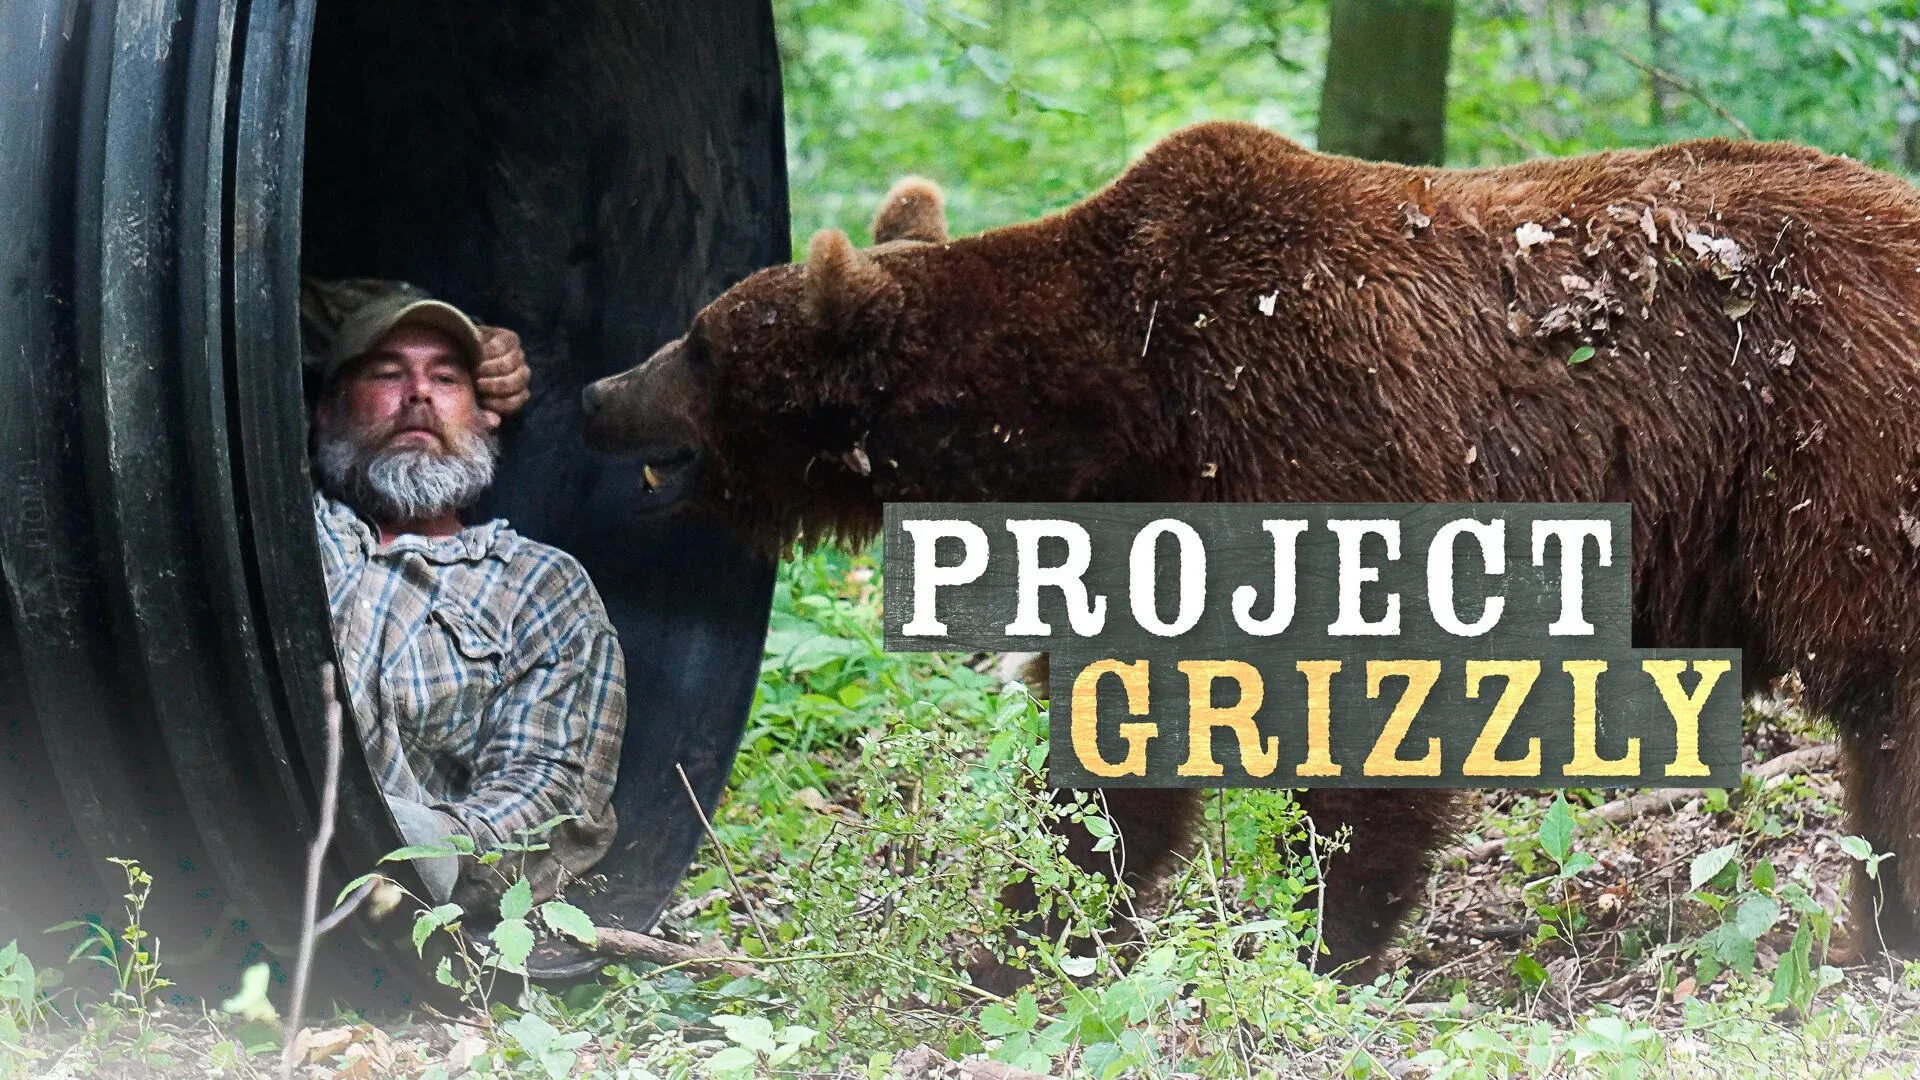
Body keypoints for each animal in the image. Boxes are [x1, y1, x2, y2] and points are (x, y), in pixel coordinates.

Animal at [583, 119, 1920, 978]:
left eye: (697, 342)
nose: (599, 390)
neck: (1104, 407)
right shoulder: (1146, 547)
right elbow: (1113, 761)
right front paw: (1030, 934)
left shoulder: (1315, 435)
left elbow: (1366, 730)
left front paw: (1320, 938)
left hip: (1836, 458)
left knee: (1885, 705)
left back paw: (1884, 924)